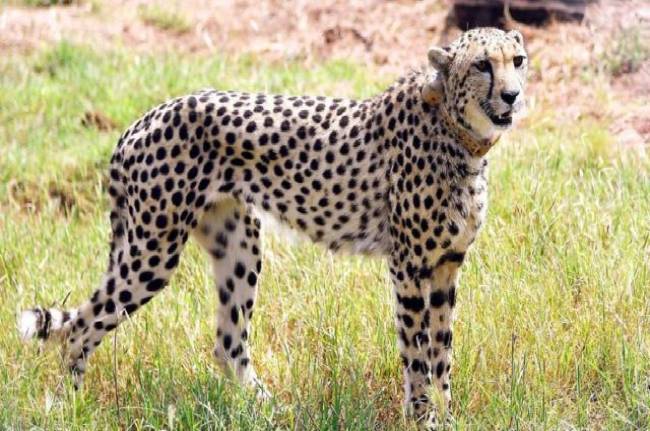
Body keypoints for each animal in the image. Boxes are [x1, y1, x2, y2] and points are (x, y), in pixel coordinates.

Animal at [18, 27, 528, 428]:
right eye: (482, 65)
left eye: (518, 61)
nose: (512, 95)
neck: (457, 130)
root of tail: (143, 119)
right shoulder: (409, 265)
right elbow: (418, 352)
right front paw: (423, 418)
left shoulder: (447, 265)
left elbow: (443, 352)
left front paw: (448, 416)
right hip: (153, 251)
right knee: (80, 327)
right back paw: (72, 407)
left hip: (238, 244)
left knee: (227, 343)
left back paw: (267, 410)